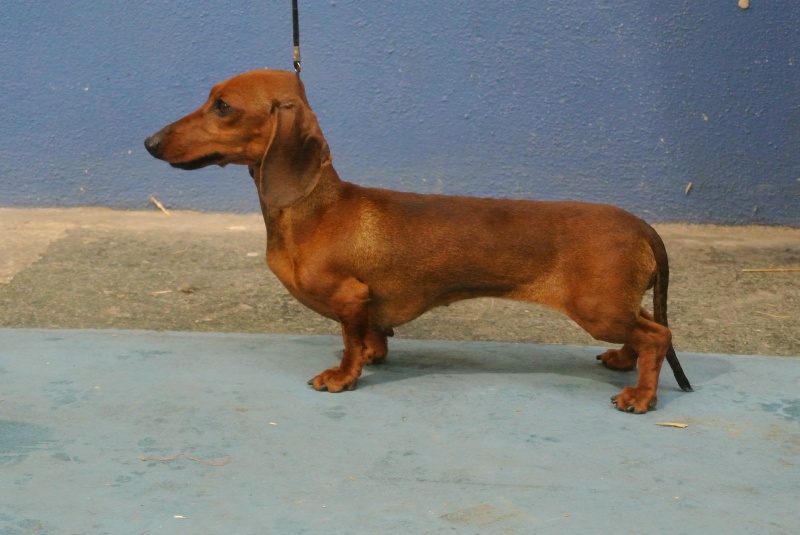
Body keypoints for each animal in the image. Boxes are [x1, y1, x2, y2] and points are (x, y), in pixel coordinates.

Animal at [145, 69, 692, 413]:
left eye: (223, 106)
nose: (149, 142)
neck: (315, 209)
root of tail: (640, 224)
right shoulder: (367, 306)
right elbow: (371, 338)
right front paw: (371, 357)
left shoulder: (350, 297)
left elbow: (349, 342)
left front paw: (342, 376)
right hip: (614, 304)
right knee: (648, 328)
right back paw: (624, 361)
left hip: (597, 309)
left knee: (658, 336)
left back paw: (640, 397)